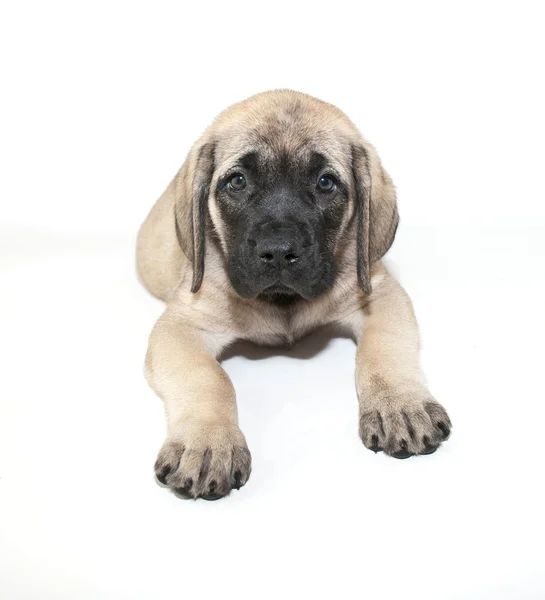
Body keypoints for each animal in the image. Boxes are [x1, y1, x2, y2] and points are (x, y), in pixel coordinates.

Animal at [136, 90, 450, 502]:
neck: (282, 302)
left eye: (325, 182)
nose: (279, 251)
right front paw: (207, 442)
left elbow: (383, 350)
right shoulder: (181, 324)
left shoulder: (381, 293)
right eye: (237, 181)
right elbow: (208, 378)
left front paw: (401, 404)